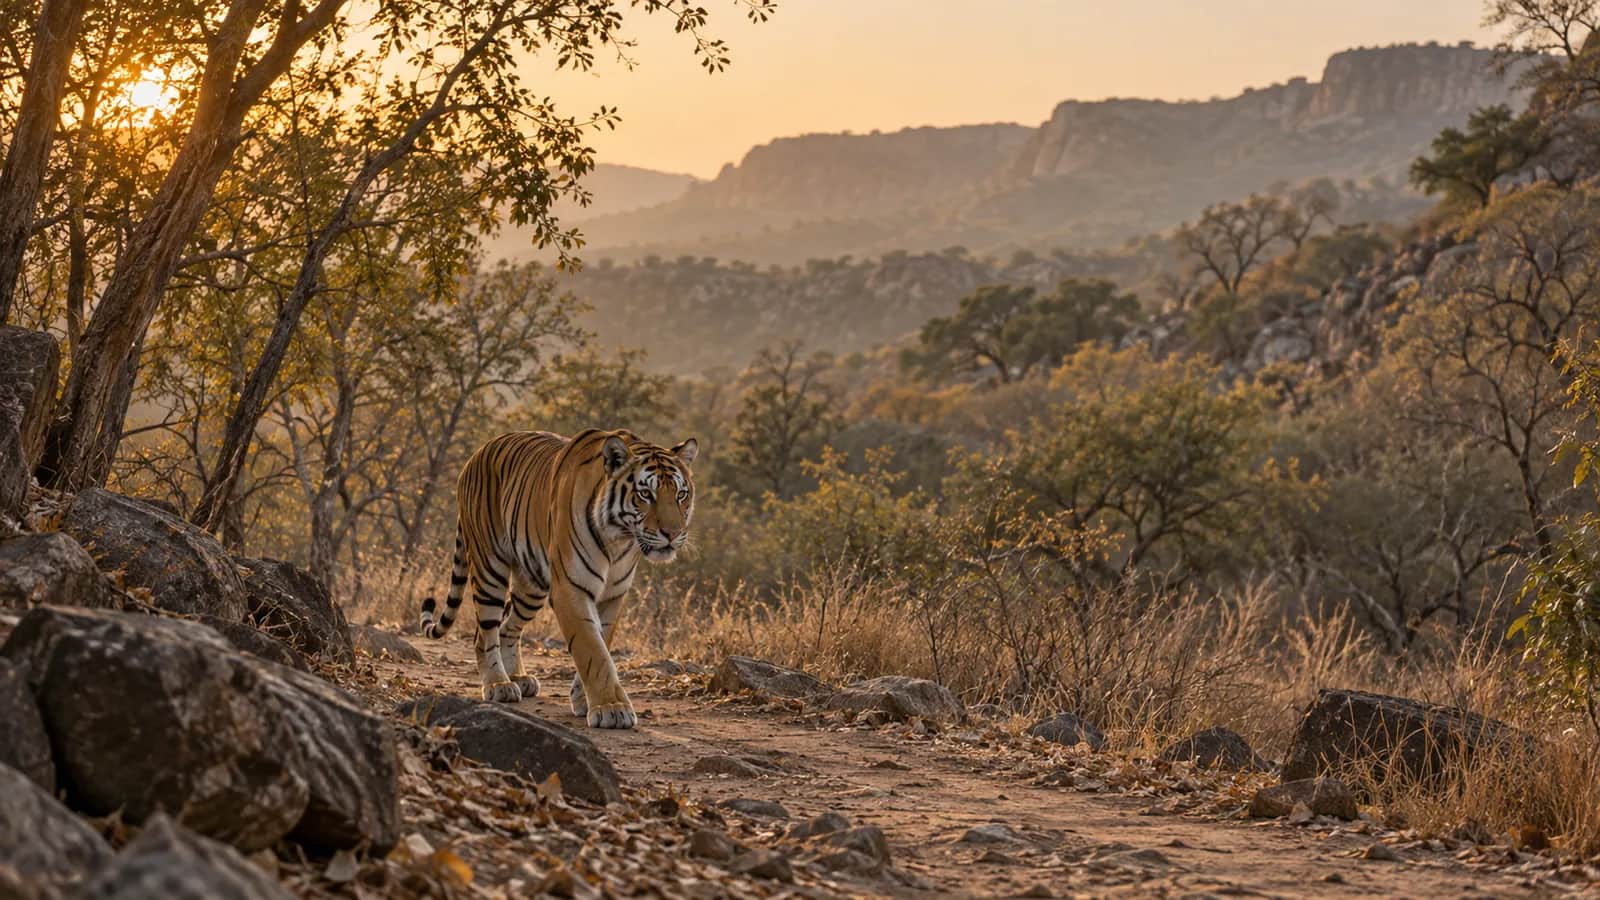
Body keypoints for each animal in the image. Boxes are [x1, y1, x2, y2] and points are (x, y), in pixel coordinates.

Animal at [418, 428, 697, 729]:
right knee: (484, 632)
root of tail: (476, 454)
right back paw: (498, 685)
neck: (620, 539)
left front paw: (585, 699)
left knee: (508, 626)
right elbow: (592, 650)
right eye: (645, 494)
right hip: (489, 566)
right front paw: (612, 708)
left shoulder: (613, 594)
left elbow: (602, 644)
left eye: (681, 494)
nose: (672, 534)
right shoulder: (570, 589)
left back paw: (518, 677)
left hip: (531, 586)